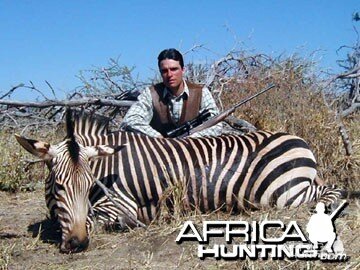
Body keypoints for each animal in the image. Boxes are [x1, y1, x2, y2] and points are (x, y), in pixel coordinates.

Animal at [15, 109, 350, 253]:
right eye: (59, 186)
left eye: (90, 186)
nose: (77, 244)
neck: (110, 164)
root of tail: (298, 139)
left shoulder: (121, 205)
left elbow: (97, 219)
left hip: (284, 193)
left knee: (335, 190)